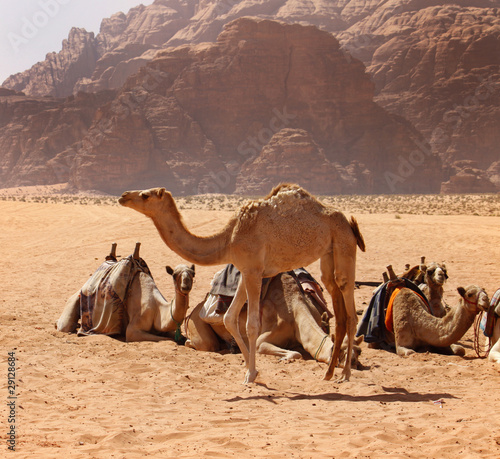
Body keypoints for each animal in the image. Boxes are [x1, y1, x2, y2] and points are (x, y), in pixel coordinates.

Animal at [55, 246, 194, 344]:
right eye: (174, 275)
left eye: (193, 274)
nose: (185, 286)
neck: (158, 310)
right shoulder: (133, 330)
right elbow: (168, 340)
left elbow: (177, 338)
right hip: (74, 302)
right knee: (64, 325)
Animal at [184, 272, 360, 368]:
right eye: (340, 352)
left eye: (358, 352)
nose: (354, 364)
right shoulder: (262, 340)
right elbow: (296, 353)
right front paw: (284, 357)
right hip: (197, 322)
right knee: (205, 344)